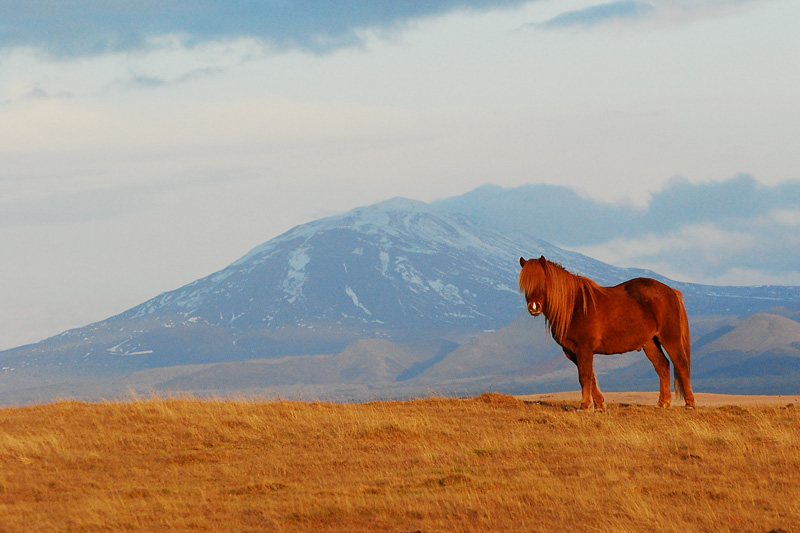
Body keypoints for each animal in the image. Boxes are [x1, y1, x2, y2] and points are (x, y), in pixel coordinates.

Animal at [520, 256, 692, 410]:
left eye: (543, 280)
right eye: (523, 284)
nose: (534, 307)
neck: (574, 306)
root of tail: (671, 291)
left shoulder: (584, 348)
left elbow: (584, 376)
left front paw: (585, 406)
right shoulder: (573, 351)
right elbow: (590, 376)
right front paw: (599, 405)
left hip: (670, 338)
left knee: (681, 364)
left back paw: (689, 404)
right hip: (650, 343)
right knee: (662, 366)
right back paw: (663, 403)